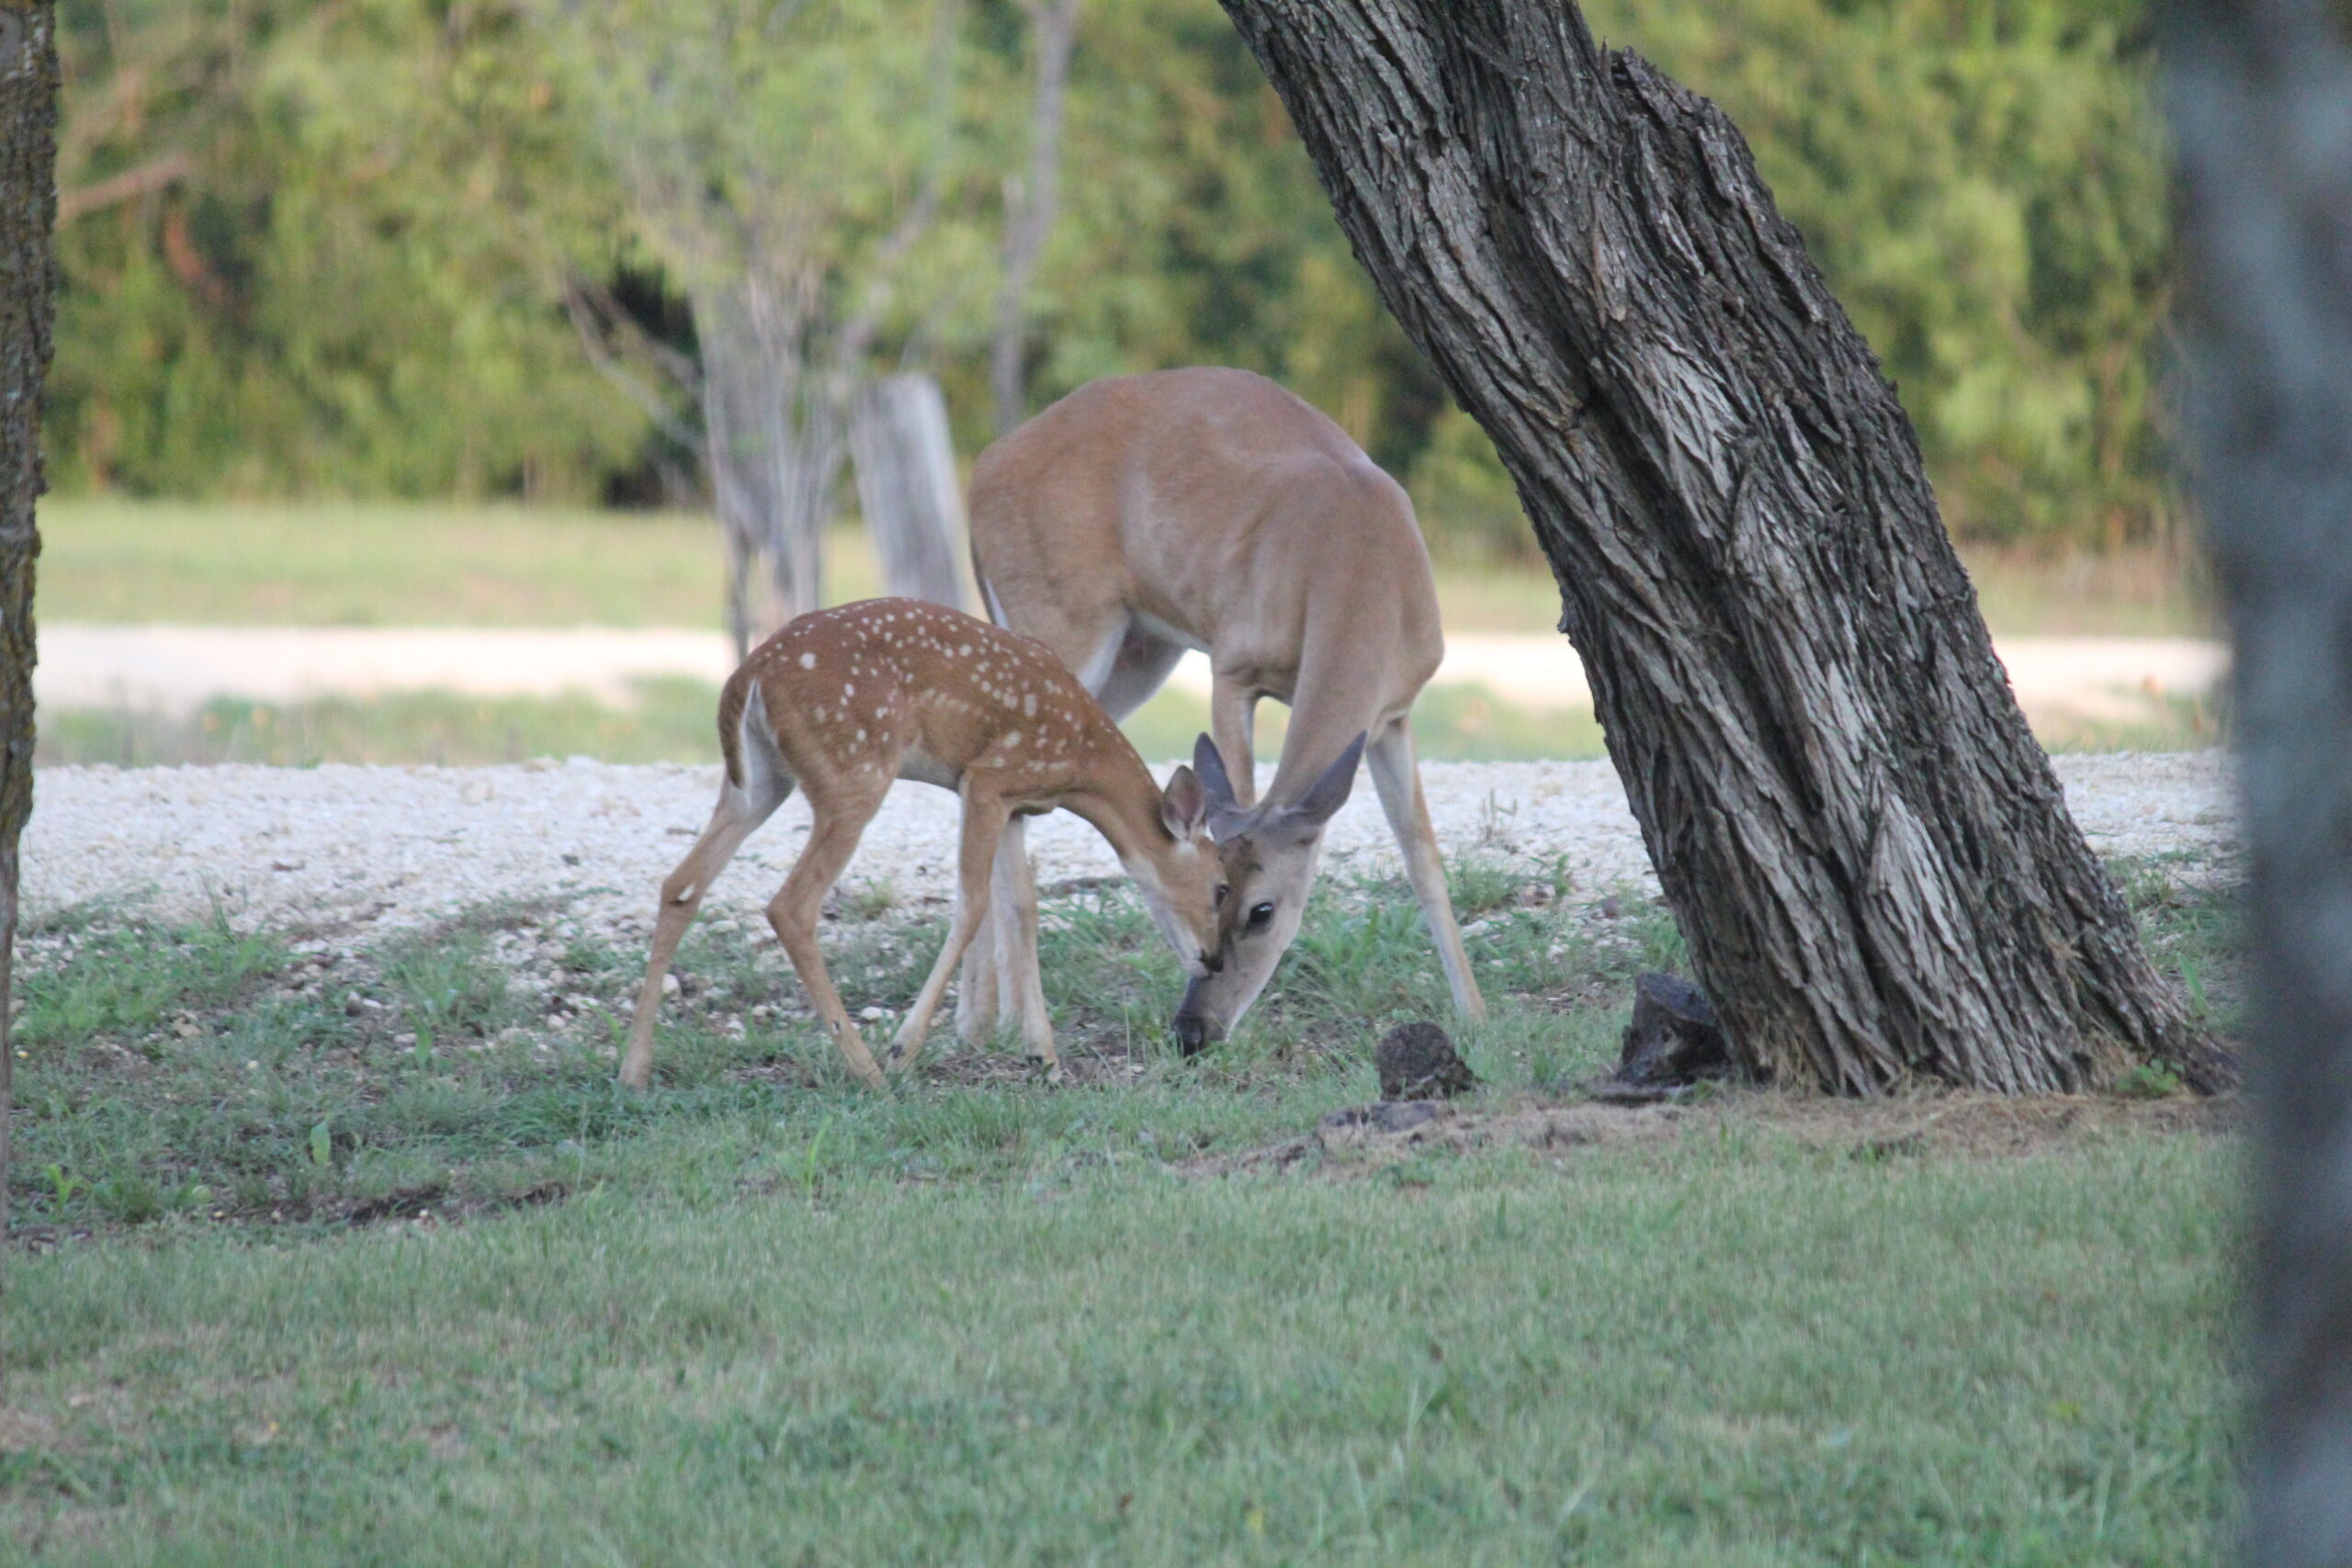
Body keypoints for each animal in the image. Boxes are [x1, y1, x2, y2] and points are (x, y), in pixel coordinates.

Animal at [618, 597, 1226, 1091]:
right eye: (1221, 887)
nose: (1214, 960)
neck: (1081, 763)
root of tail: (748, 674)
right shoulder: (986, 780)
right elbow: (974, 904)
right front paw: (904, 1048)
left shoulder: (1014, 803)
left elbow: (1023, 909)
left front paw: (1045, 1059)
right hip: (854, 772)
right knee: (791, 905)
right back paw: (869, 1072)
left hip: (759, 782)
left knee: (681, 883)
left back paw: (634, 1070)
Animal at [957, 366, 1486, 1061]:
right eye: (1221, 894)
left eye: (1262, 910)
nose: (1191, 1031)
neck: (1359, 566)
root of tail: (979, 471)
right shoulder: (1234, 664)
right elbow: (1236, 786)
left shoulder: (1394, 711)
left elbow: (1423, 857)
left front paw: (1475, 1013)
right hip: (1060, 620)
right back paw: (1018, 1028)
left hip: (1139, 651)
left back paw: (979, 1020)